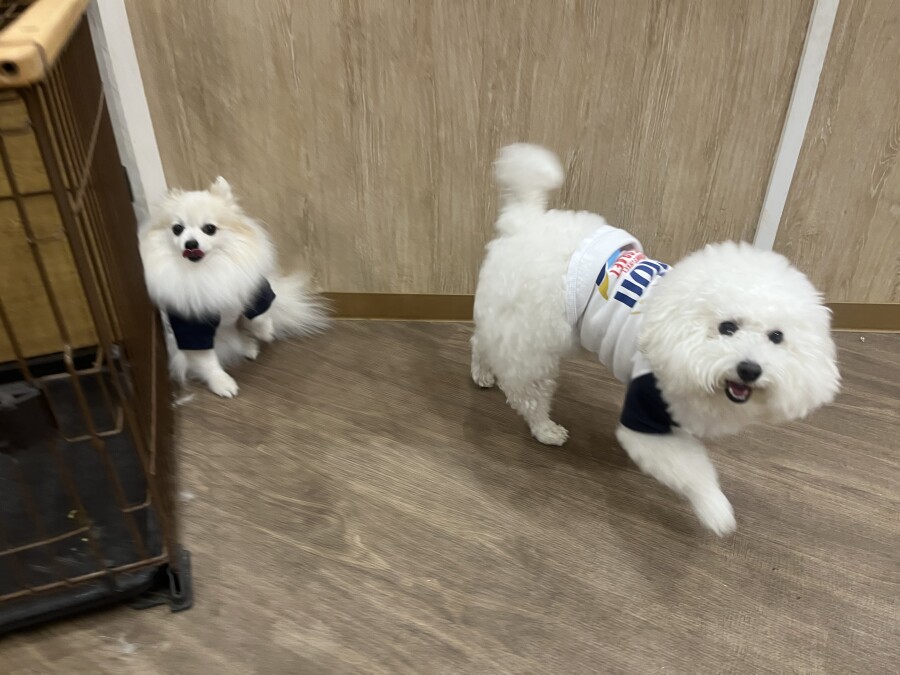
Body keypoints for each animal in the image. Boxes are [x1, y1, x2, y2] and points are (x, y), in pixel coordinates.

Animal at [139, 177, 328, 398]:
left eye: (209, 228)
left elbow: (259, 315)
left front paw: (265, 332)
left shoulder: (254, 290)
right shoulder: (193, 327)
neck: (208, 270)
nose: (190, 244)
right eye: (177, 229)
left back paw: (249, 343)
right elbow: (207, 360)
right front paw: (221, 382)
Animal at [471, 144, 840, 535]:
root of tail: (524, 221)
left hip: (514, 321)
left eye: (777, 337)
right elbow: (692, 471)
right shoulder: (646, 410)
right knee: (528, 392)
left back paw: (482, 373)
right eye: (726, 327)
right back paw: (544, 428)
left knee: (481, 341)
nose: (750, 369)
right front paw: (716, 510)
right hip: (533, 340)